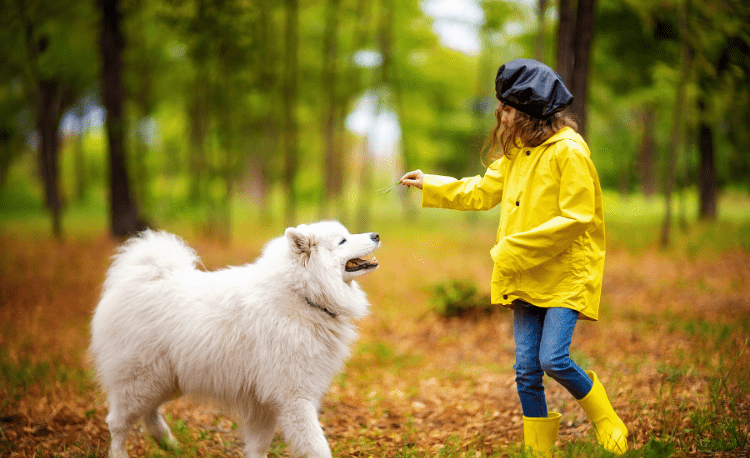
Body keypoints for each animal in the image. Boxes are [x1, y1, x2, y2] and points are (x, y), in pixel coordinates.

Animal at [89, 220, 382, 456]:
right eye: (342, 240)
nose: (376, 234)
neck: (301, 294)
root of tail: (138, 277)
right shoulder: (293, 397)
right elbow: (317, 446)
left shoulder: (265, 402)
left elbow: (258, 446)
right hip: (141, 379)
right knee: (118, 423)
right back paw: (122, 453)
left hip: (166, 380)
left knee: (149, 413)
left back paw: (167, 443)